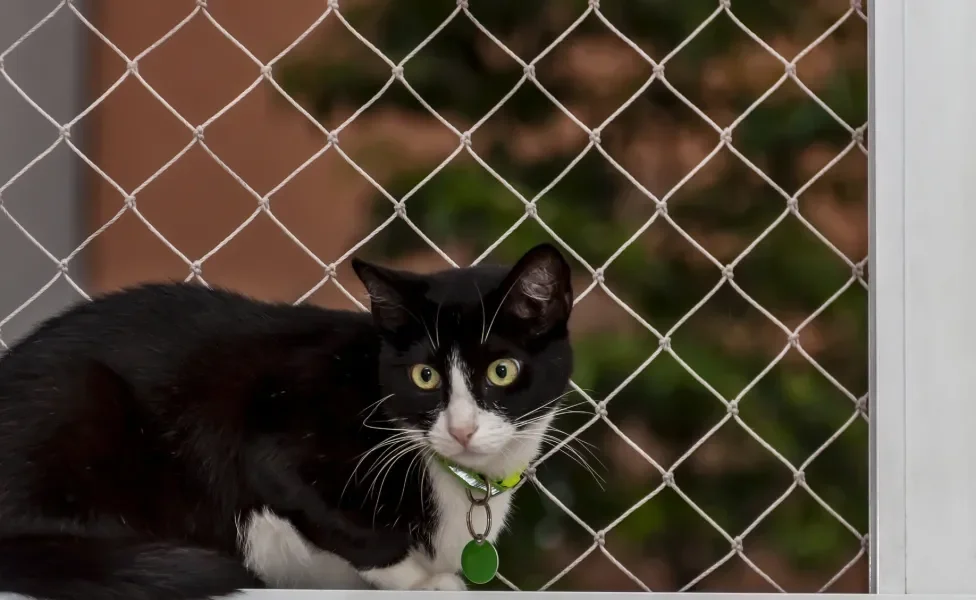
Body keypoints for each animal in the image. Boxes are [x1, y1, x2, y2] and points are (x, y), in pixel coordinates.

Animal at [0, 241, 572, 596]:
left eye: (501, 370)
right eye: (425, 376)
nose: (461, 429)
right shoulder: (272, 436)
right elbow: (349, 528)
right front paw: (423, 580)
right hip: (76, 394)